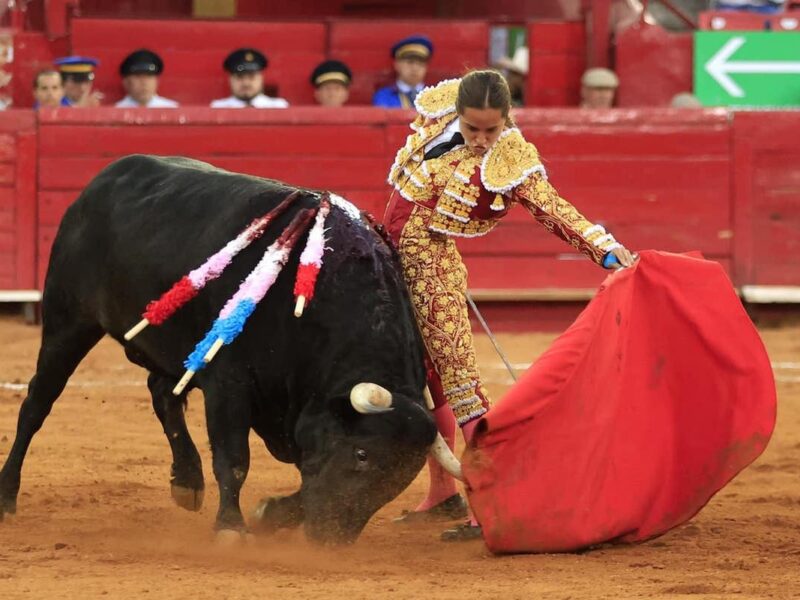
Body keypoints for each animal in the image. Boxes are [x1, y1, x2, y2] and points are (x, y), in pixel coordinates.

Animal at [0, 155, 440, 544]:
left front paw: (271, 514)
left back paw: (187, 481)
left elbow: (305, 474)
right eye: (362, 454)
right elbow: (234, 459)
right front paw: (232, 527)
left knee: (162, 395)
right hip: (68, 324)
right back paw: (7, 496)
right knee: (36, 404)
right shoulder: (229, 383)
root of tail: (99, 183)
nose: (332, 539)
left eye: (403, 477)